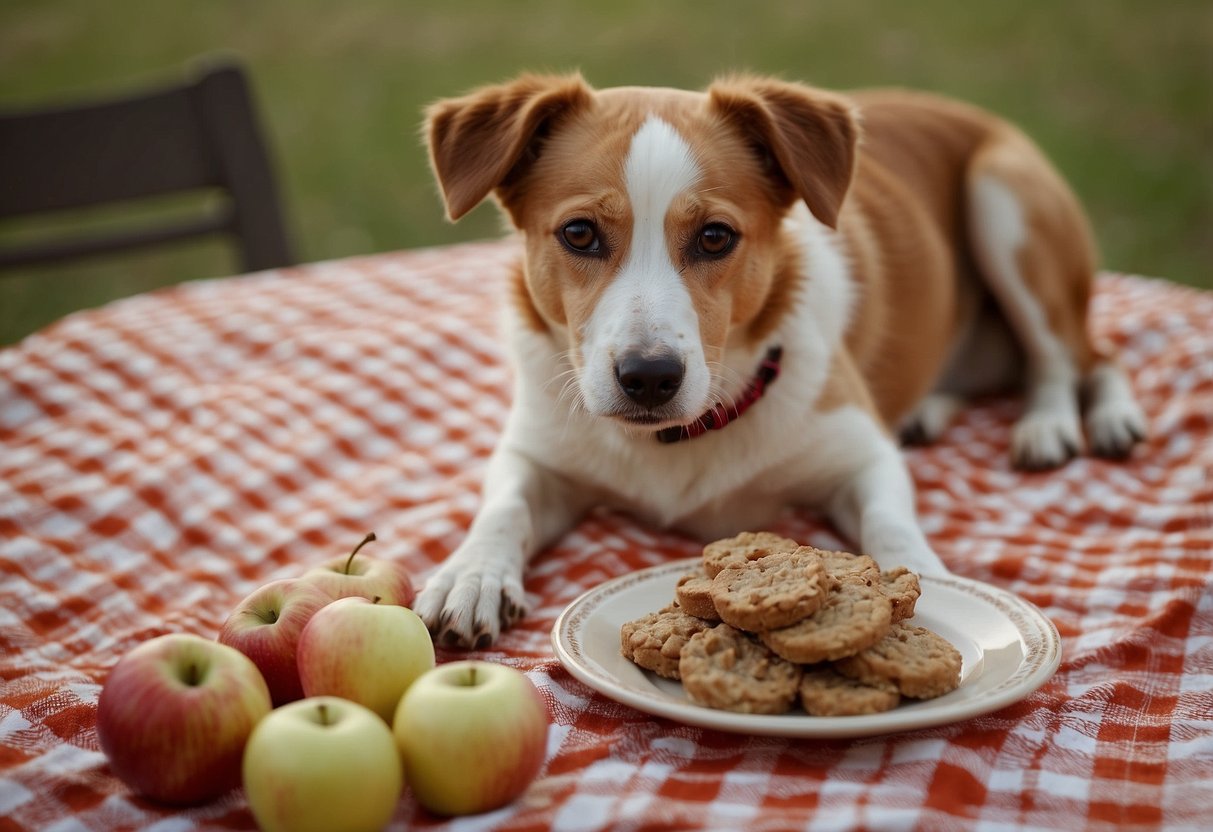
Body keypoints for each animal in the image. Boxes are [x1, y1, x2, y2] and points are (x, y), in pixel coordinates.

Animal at [414, 73, 1145, 650]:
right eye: (578, 233)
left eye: (715, 237)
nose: (649, 378)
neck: (682, 439)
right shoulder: (535, 453)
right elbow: (502, 508)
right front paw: (470, 575)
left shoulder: (861, 453)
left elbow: (889, 523)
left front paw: (922, 578)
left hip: (1005, 201)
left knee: (1080, 355)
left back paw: (1062, 423)